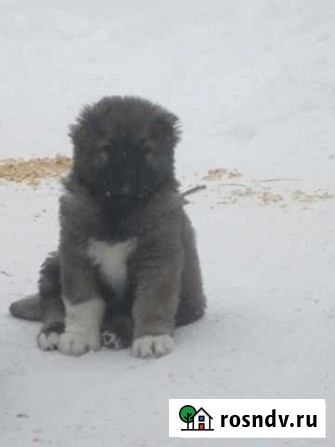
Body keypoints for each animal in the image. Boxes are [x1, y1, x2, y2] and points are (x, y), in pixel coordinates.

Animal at [9, 96, 206, 358]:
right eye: (106, 149)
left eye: (145, 151)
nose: (127, 177)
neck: (118, 210)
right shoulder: (76, 255)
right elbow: (82, 303)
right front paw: (79, 336)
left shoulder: (158, 257)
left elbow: (151, 301)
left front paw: (151, 338)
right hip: (54, 262)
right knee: (51, 301)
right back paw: (55, 331)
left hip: (190, 303)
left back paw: (116, 332)